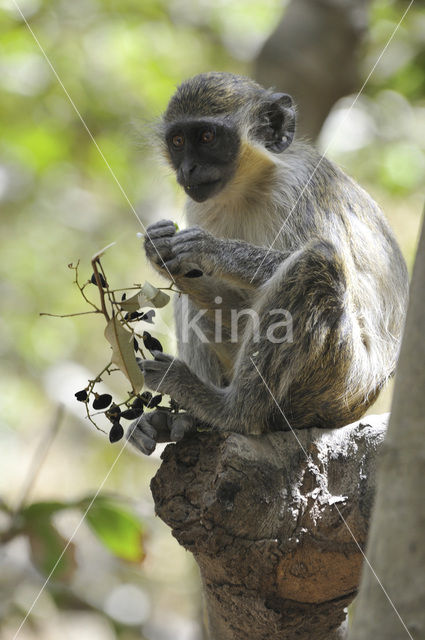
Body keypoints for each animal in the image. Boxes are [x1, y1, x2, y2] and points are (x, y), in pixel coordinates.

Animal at [127, 71, 410, 456]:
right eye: (178, 141)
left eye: (206, 137)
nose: (188, 168)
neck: (246, 189)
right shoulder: (201, 205)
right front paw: (159, 249)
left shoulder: (300, 186)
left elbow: (337, 266)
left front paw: (211, 249)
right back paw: (184, 420)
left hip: (337, 382)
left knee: (316, 263)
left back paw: (228, 410)